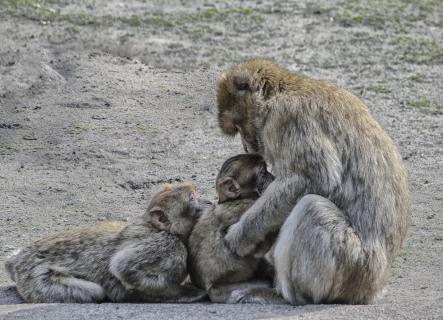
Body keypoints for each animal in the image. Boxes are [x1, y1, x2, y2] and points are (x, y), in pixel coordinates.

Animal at [5, 184, 208, 304]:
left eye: (197, 194)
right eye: (192, 198)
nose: (207, 201)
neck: (164, 230)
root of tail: (19, 262)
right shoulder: (166, 245)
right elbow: (124, 268)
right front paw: (185, 293)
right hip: (35, 280)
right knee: (95, 291)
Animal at [187, 154, 284, 304]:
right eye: (263, 174)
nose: (272, 177)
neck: (232, 200)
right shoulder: (248, 206)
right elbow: (254, 248)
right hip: (224, 290)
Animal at [218, 58, 412, 304]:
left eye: (238, 126)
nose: (245, 145)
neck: (281, 91)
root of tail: (374, 287)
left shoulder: (288, 118)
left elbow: (316, 179)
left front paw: (239, 237)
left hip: (351, 263)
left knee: (312, 207)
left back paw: (284, 294)